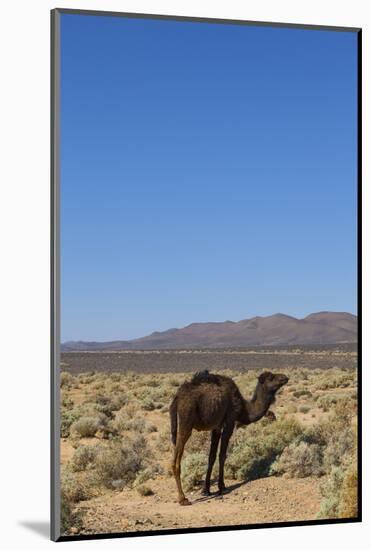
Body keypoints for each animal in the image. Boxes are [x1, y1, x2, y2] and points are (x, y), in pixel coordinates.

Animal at [170, 370, 290, 508]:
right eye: (271, 378)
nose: (284, 377)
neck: (244, 408)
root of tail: (177, 398)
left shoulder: (216, 427)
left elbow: (211, 456)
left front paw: (206, 490)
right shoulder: (230, 421)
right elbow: (222, 455)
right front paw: (222, 487)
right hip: (186, 420)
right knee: (176, 458)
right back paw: (183, 499)